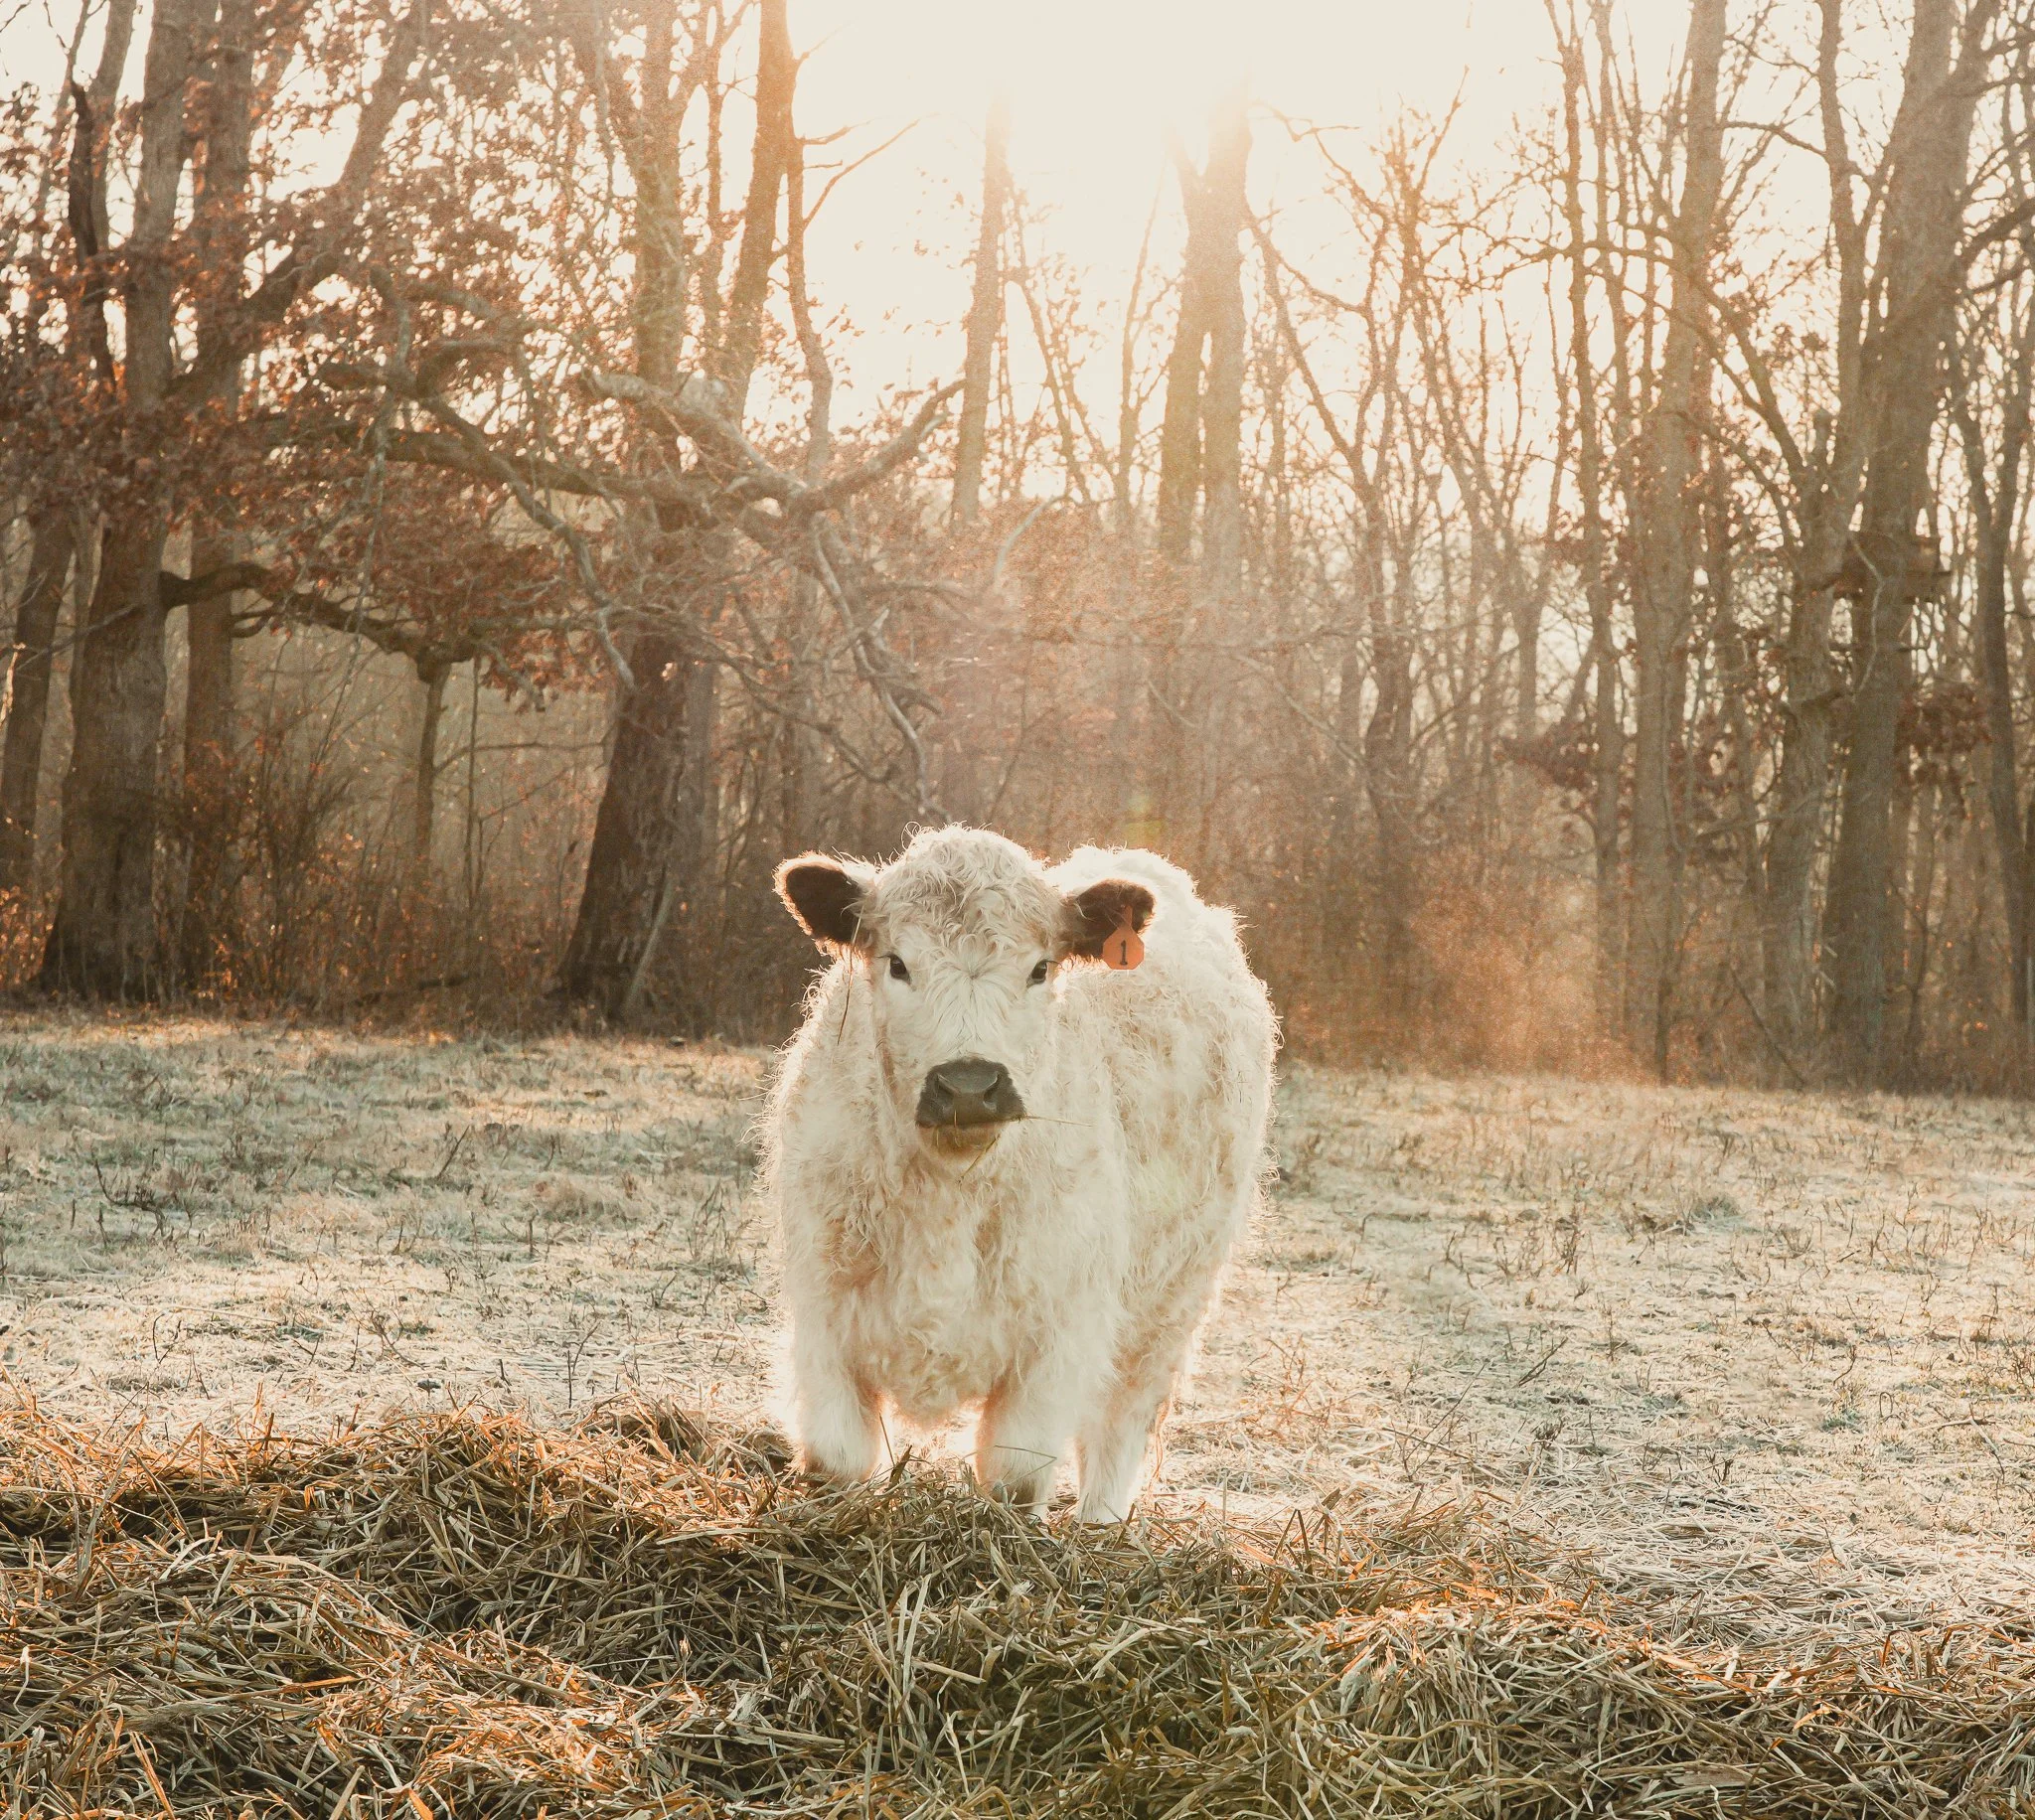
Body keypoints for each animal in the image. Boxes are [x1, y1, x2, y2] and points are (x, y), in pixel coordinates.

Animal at [764, 825, 1277, 1522]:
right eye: (897, 963)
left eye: (1039, 969)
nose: (968, 1085)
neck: (949, 1203)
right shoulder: (824, 1309)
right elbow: (836, 1460)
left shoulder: (1059, 1332)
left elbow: (1014, 1477)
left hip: (1173, 1299)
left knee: (1121, 1424)